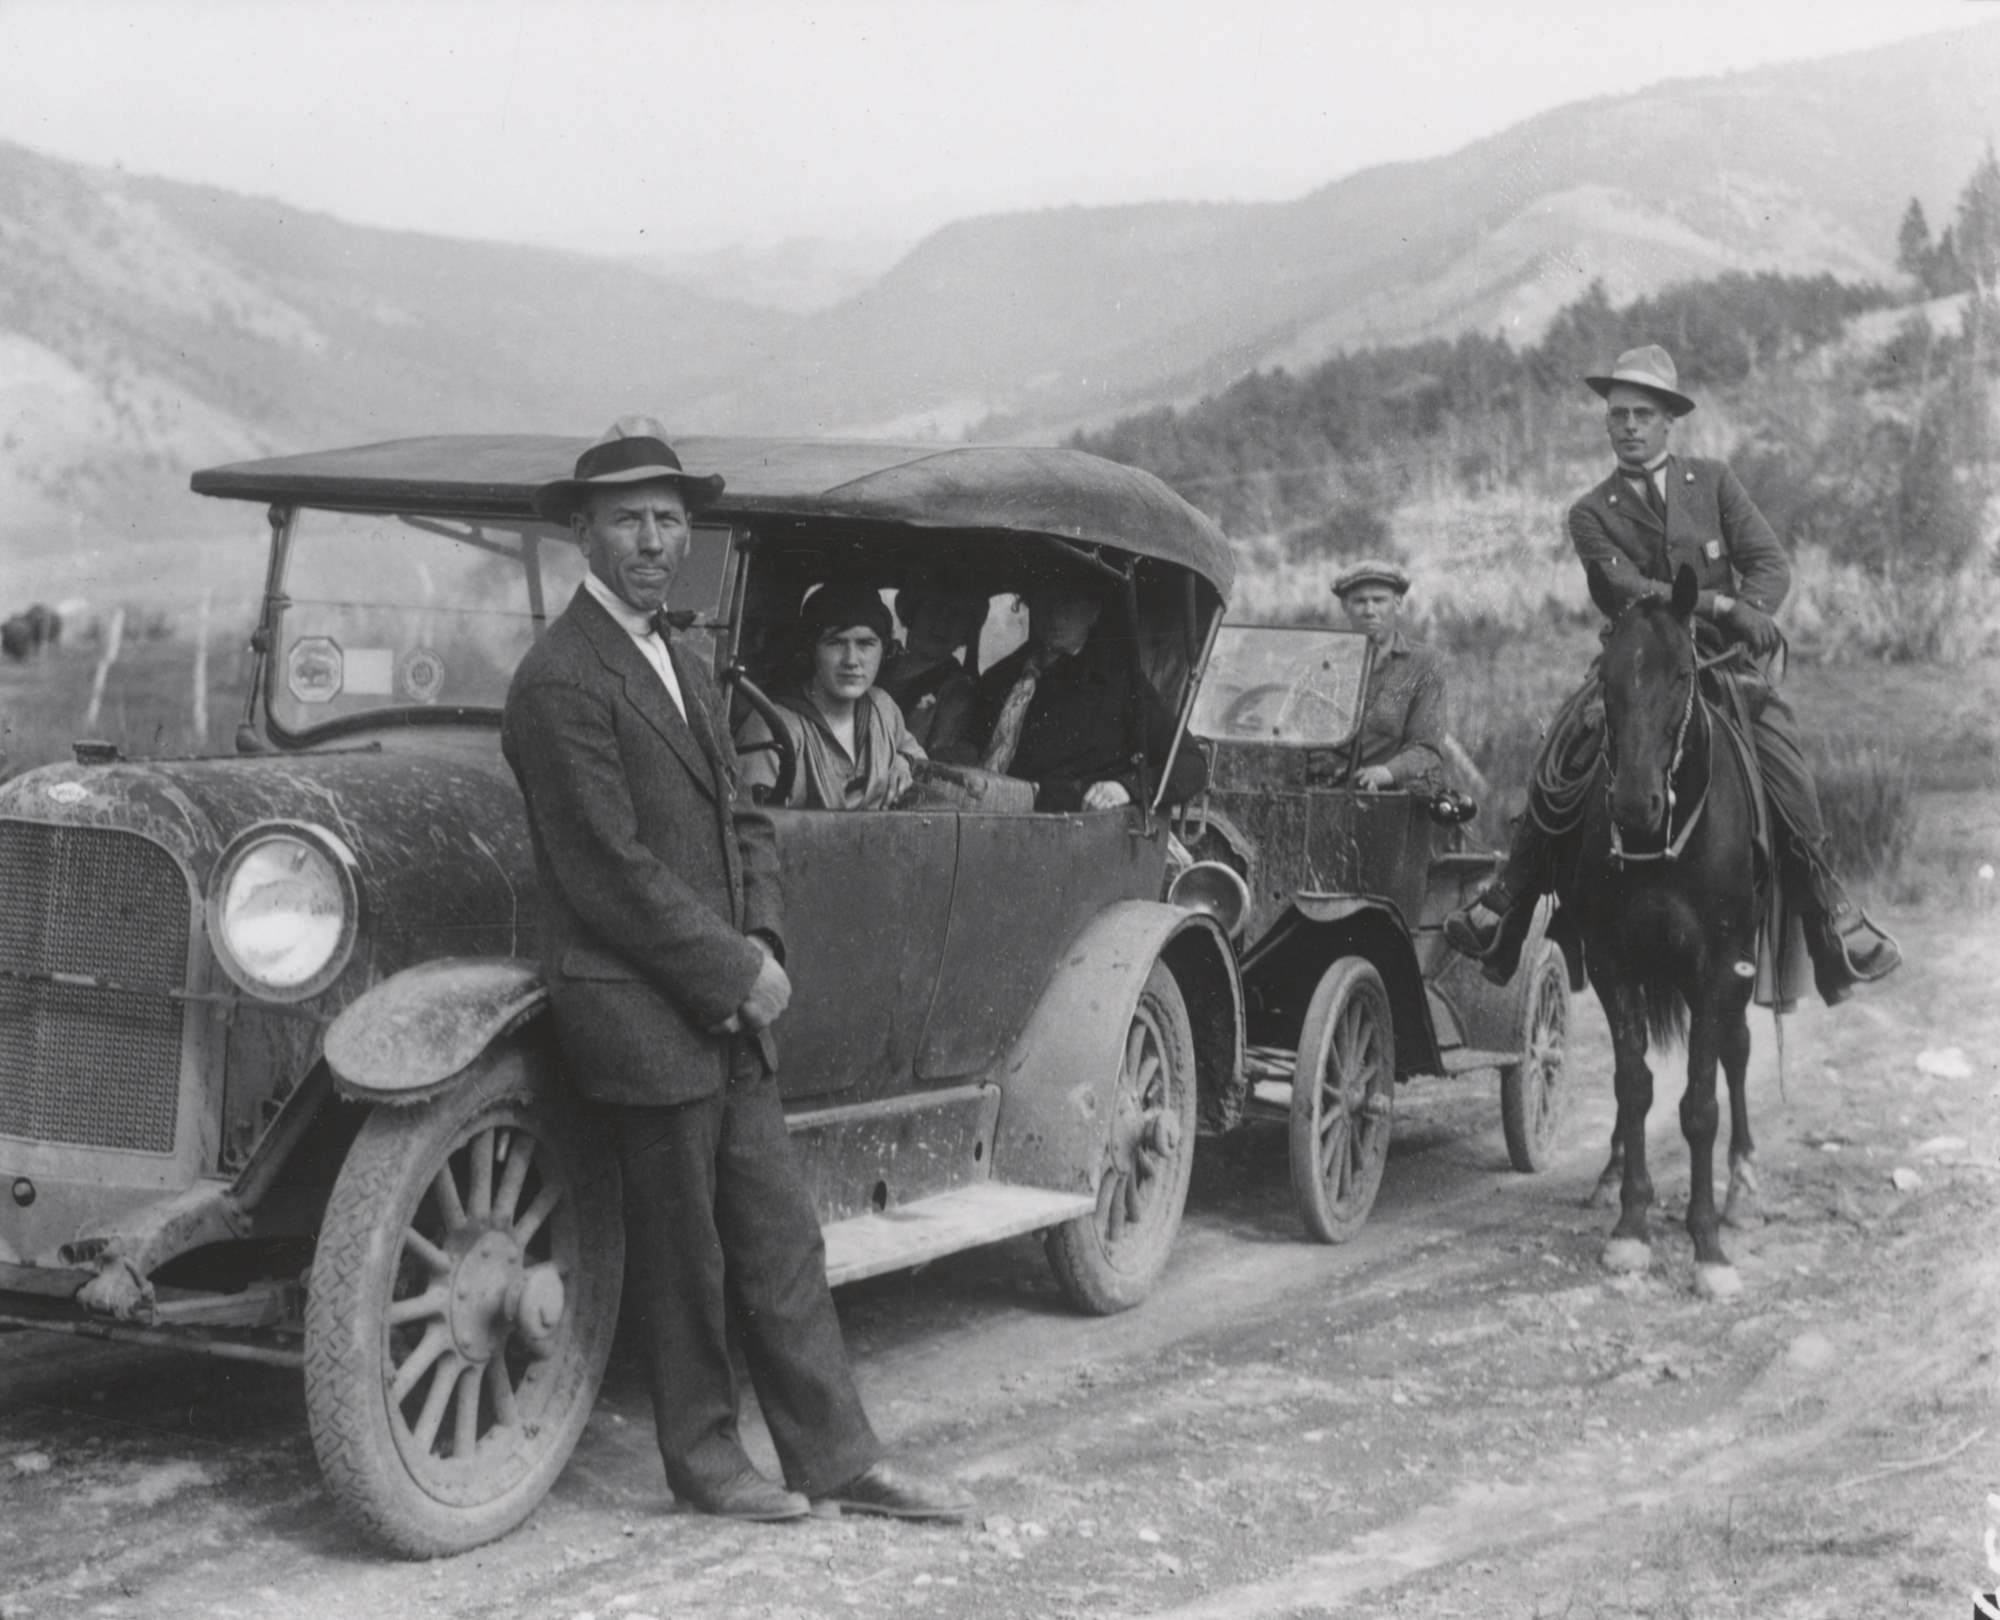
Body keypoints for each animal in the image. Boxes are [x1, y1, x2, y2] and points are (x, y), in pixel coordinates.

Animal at [1560, 560, 1768, 1296]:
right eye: (1606, 674)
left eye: (1682, 674)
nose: (1633, 802)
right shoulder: (1611, 963)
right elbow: (1634, 1087)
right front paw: (1630, 1227)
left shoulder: (1716, 966)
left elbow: (1700, 1104)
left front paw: (1707, 1247)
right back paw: (1612, 1173)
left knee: (1737, 1050)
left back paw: (1742, 1185)